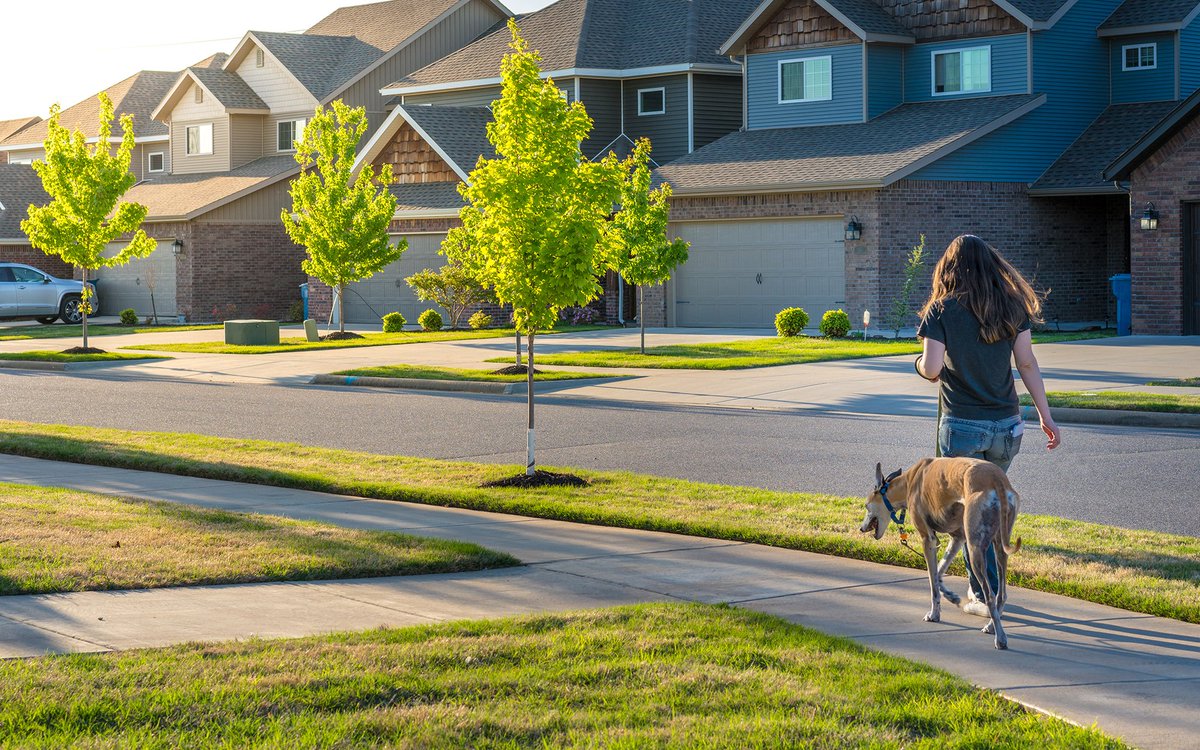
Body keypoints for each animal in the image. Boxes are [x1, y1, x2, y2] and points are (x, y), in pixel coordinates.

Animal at [864, 453, 1022, 648]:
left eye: (866, 506)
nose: (861, 528)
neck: (909, 481)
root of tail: (997, 479)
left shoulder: (928, 540)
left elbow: (932, 582)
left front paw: (934, 614)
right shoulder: (958, 538)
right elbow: (939, 573)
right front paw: (952, 596)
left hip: (975, 548)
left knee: (990, 596)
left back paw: (1000, 638)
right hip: (999, 544)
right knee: (1002, 594)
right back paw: (992, 626)